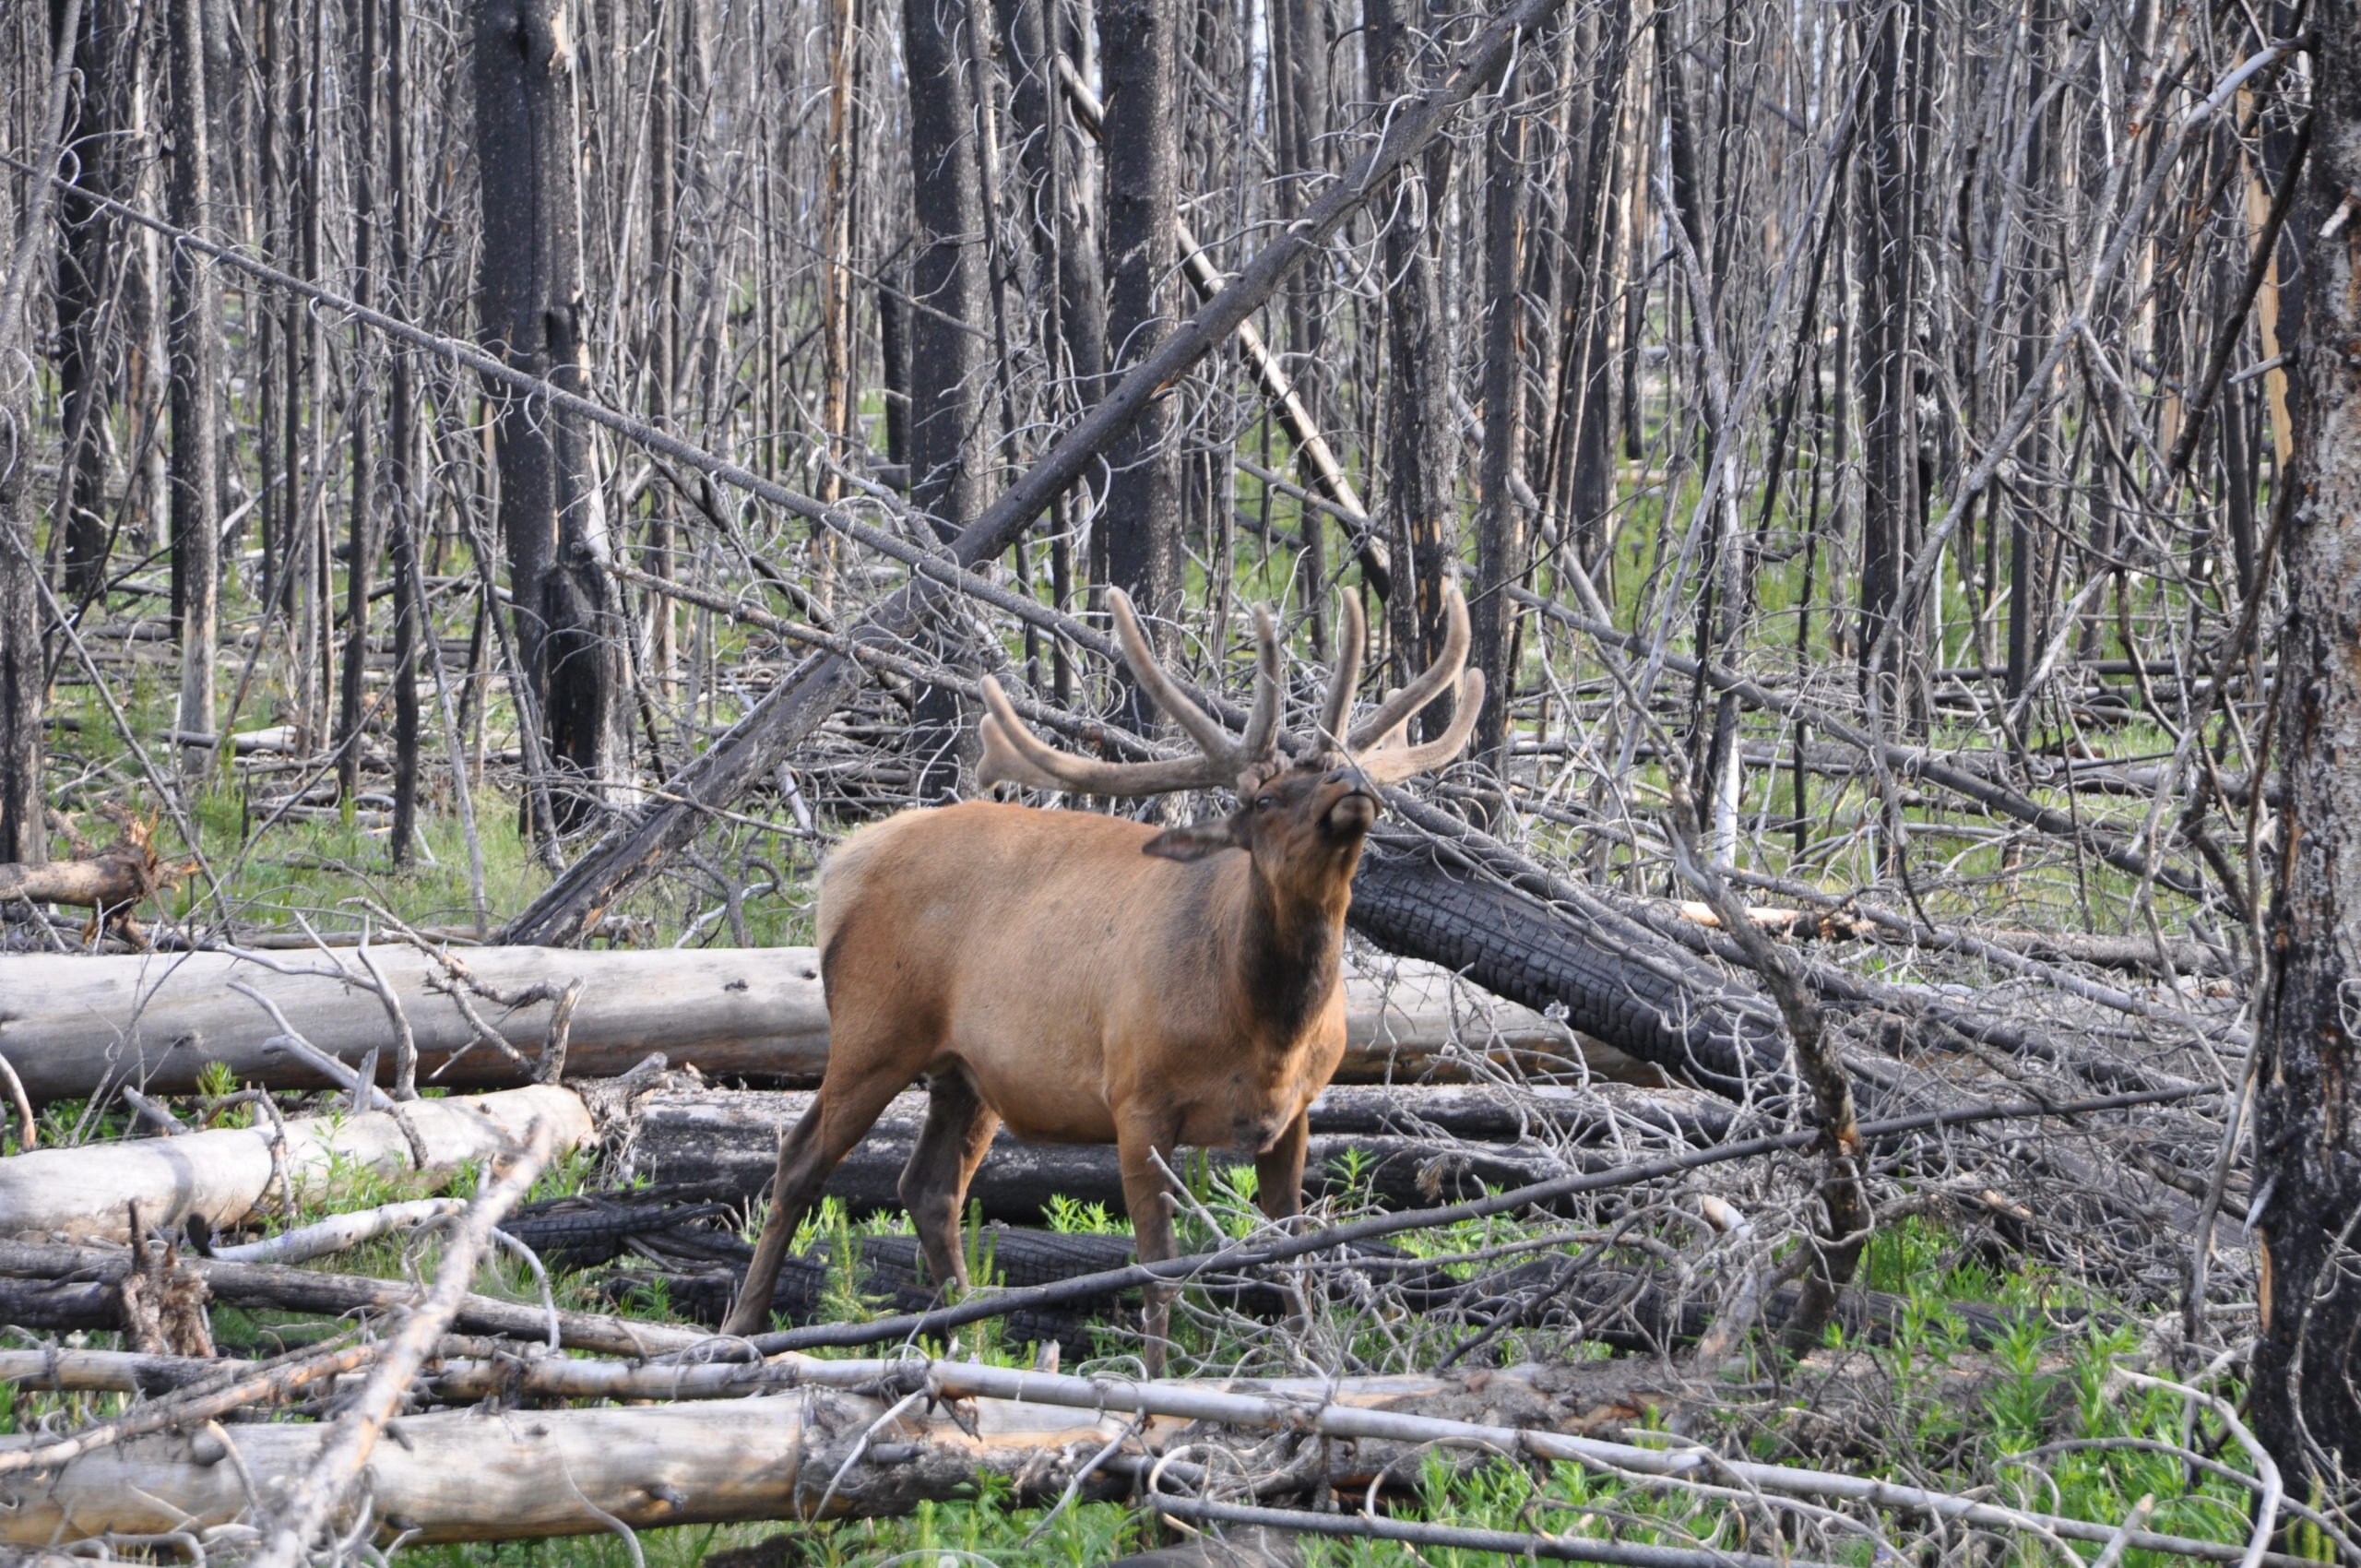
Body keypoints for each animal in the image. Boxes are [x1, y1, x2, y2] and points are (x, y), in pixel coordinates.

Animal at [727, 580, 1482, 1369]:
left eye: (1333, 769)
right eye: (1264, 799)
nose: (1350, 779)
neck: (1265, 1028)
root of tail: (840, 865)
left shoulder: (1295, 1111)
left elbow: (1291, 1259)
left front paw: (1307, 1365)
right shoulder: (1136, 1099)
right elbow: (1158, 1267)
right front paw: (1156, 1379)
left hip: (967, 1072)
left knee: (929, 1186)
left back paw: (967, 1335)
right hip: (874, 1029)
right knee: (801, 1158)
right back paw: (743, 1326)